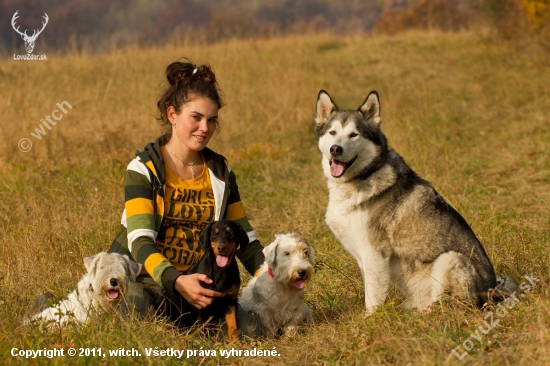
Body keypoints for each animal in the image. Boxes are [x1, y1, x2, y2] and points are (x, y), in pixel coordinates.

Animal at [314, 90, 500, 314]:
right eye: (332, 133)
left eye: (354, 135)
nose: (335, 149)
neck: (364, 176)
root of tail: (494, 295)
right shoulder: (362, 256)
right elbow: (370, 290)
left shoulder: (374, 253)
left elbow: (373, 298)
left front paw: (372, 319)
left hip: (449, 259)